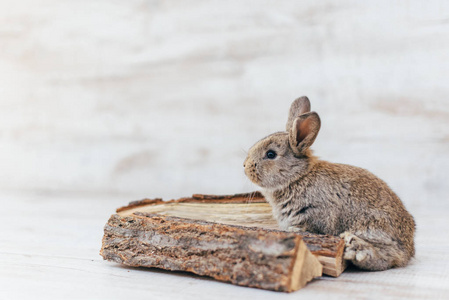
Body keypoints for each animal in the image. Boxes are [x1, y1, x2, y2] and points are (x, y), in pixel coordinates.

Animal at [243, 97, 414, 270]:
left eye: (271, 154)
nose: (245, 166)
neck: (298, 176)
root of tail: (408, 249)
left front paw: (295, 229)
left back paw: (355, 249)